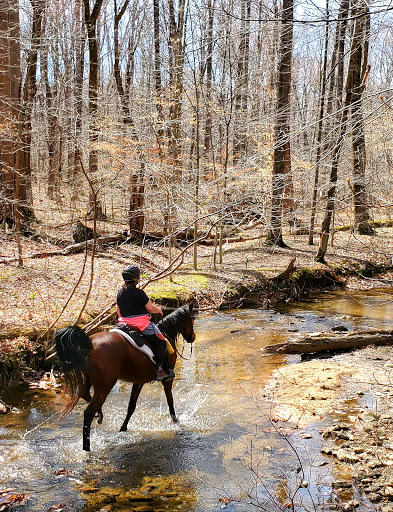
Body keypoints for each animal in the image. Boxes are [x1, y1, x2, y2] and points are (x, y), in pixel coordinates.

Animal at [52, 302, 196, 450]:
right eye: (192, 319)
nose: (192, 337)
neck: (166, 333)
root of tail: (90, 345)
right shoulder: (167, 380)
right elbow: (170, 401)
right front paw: (176, 422)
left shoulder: (138, 381)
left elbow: (131, 407)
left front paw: (123, 429)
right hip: (105, 386)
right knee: (88, 413)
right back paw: (87, 447)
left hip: (90, 380)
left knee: (85, 395)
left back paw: (100, 415)